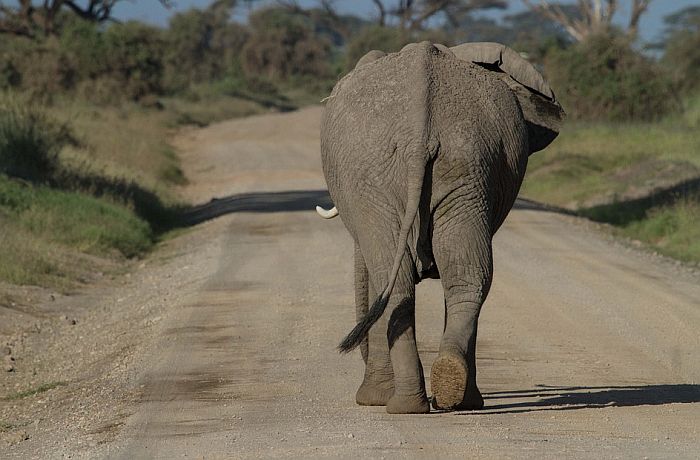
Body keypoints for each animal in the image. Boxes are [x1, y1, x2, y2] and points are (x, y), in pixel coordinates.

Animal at [318, 41, 564, 414]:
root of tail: (420, 131)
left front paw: (371, 399)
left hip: (382, 177)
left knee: (395, 280)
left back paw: (402, 404)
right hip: (467, 165)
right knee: (466, 274)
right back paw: (453, 393)